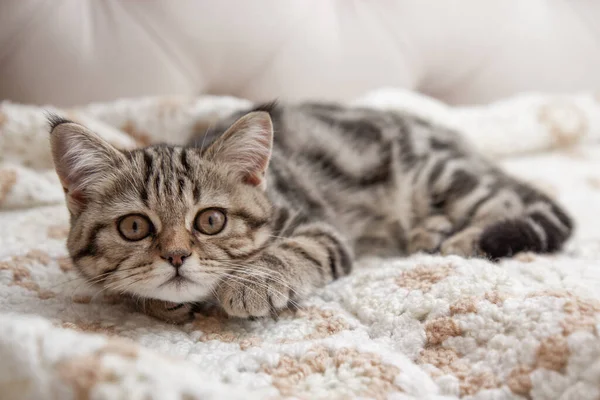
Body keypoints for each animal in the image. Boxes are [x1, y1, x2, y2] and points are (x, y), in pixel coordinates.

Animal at [48, 102, 572, 322]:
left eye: (211, 220)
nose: (176, 257)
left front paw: (250, 285)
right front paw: (159, 302)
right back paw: (432, 231)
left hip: (438, 174)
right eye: (134, 226)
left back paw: (466, 237)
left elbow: (290, 252)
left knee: (512, 201)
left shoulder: (320, 226)